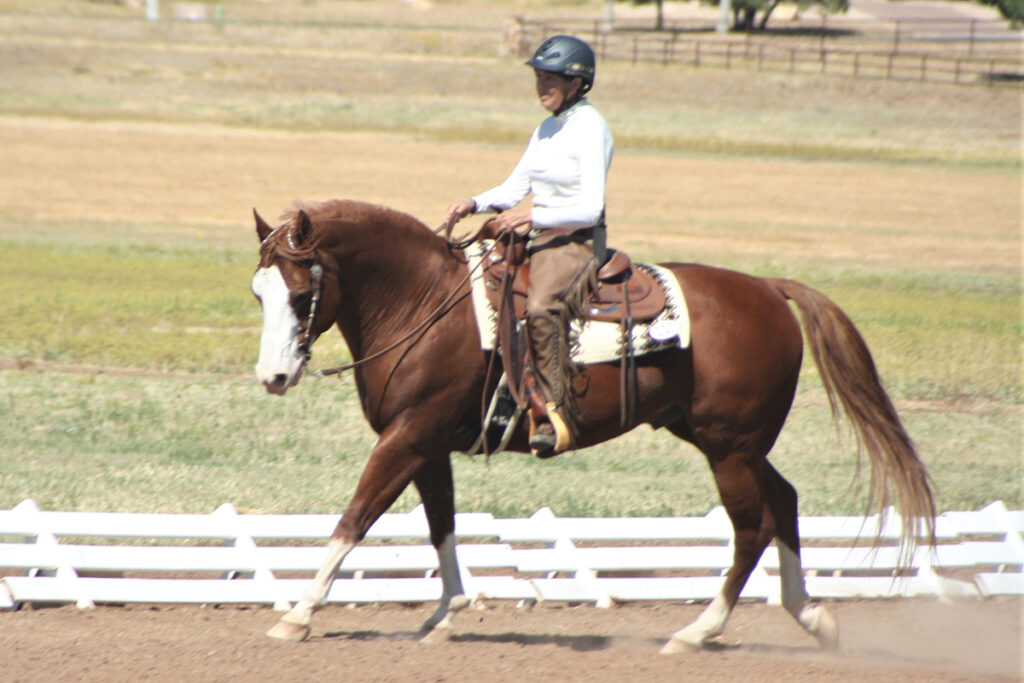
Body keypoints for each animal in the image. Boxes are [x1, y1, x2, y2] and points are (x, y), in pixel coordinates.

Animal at [249, 198, 937, 655]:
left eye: (300, 292)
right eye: (259, 293)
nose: (273, 376)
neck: (423, 302)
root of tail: (768, 289)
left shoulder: (408, 439)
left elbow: (354, 519)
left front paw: (299, 614)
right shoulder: (428, 445)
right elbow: (441, 524)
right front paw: (445, 612)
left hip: (729, 449)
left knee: (751, 526)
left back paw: (699, 631)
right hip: (721, 439)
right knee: (785, 501)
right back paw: (811, 617)